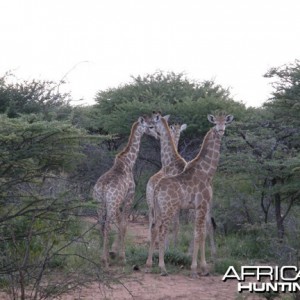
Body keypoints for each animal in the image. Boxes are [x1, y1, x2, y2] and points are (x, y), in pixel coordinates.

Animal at [93, 115, 158, 268]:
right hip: (111, 204)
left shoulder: (120, 202)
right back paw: (104, 261)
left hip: (100, 204)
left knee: (102, 226)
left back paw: (103, 257)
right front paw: (122, 258)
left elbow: (119, 223)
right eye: (151, 126)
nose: (158, 135)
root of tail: (102, 188)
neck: (128, 163)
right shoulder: (129, 197)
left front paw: (113, 253)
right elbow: (123, 225)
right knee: (107, 226)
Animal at [146, 113, 233, 276]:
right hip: (168, 208)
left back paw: (149, 265)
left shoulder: (198, 206)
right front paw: (196, 267)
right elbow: (198, 233)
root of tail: (157, 188)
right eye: (215, 123)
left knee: (155, 227)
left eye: (225, 122)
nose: (221, 130)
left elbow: (199, 232)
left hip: (159, 209)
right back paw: (163, 267)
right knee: (162, 230)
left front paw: (201, 266)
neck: (207, 172)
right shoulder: (201, 205)